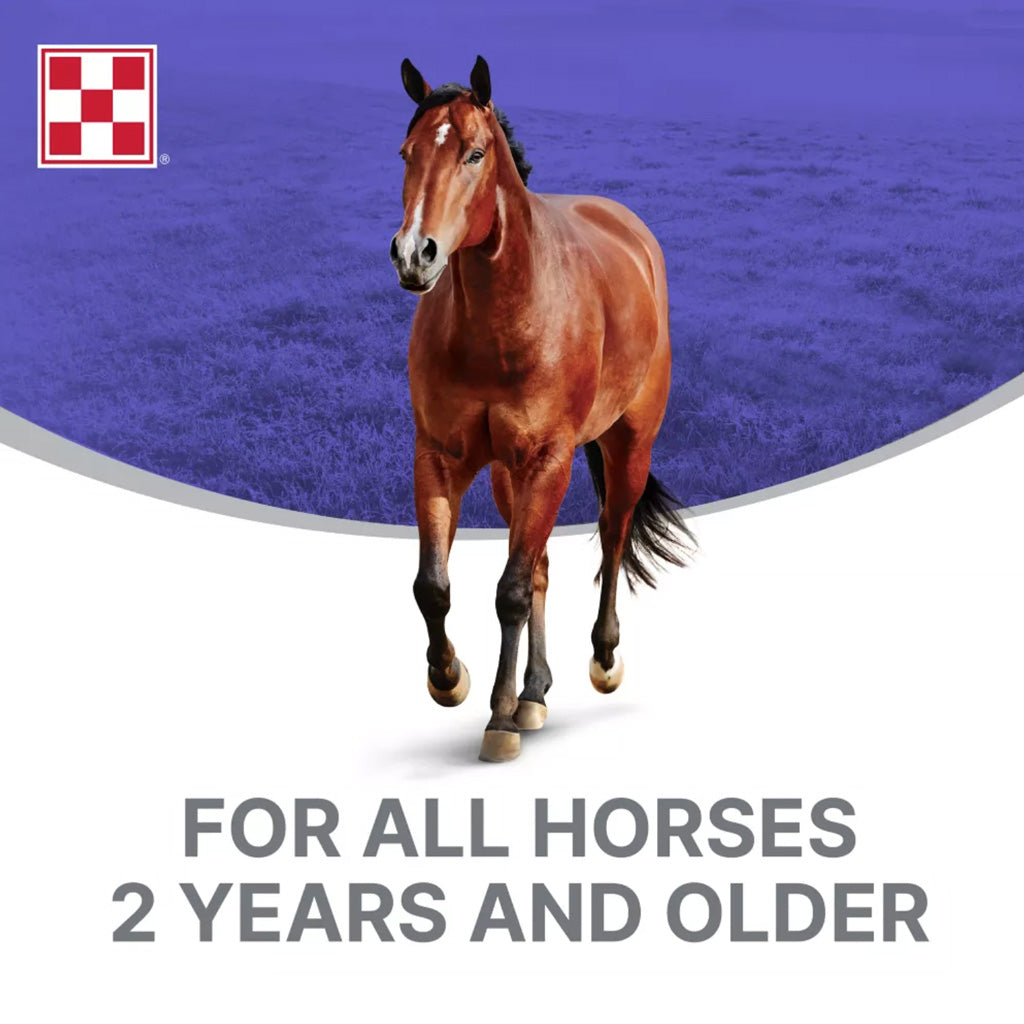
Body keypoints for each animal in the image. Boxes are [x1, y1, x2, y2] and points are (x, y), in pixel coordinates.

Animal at [390, 56, 693, 762]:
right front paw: (451, 678)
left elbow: (511, 592)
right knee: (544, 567)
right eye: (407, 154)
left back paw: (601, 660)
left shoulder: (549, 459)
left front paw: (498, 721)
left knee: (611, 533)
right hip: (509, 474)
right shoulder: (439, 458)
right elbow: (434, 585)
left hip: (626, 445)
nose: (415, 254)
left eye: (474, 154)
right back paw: (535, 692)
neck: (502, 324)